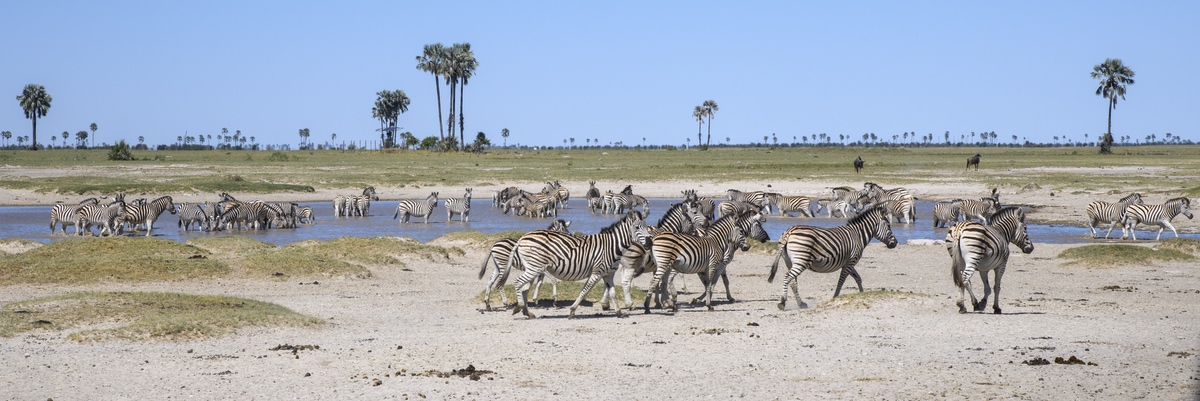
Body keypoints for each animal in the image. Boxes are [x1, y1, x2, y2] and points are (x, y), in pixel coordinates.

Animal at [505, 211, 651, 319]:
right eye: (637, 227)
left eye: (646, 227)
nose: (649, 242)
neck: (612, 246)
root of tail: (522, 238)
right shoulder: (597, 272)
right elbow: (585, 291)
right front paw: (572, 310)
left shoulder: (608, 274)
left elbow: (613, 293)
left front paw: (619, 312)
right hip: (535, 268)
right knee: (518, 282)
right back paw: (518, 307)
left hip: (532, 268)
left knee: (524, 288)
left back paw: (527, 313)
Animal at [767, 206, 898, 310]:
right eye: (888, 225)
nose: (895, 243)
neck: (858, 235)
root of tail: (789, 231)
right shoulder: (851, 261)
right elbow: (841, 280)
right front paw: (836, 296)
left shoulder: (849, 262)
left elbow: (858, 278)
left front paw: (861, 294)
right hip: (801, 261)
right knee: (787, 277)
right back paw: (783, 303)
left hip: (789, 261)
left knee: (793, 281)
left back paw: (801, 303)